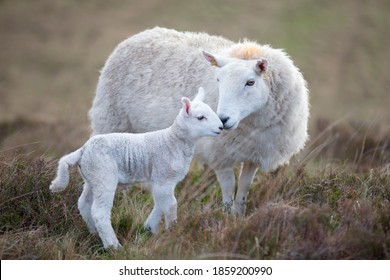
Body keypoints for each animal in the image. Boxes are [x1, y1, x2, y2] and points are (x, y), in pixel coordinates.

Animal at [49, 88, 222, 249]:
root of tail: (83, 150)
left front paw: (150, 228)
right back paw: (113, 246)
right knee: (99, 212)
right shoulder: (164, 177)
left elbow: (160, 203)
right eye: (200, 117)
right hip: (104, 175)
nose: (221, 127)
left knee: (84, 203)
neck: (173, 141)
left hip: (92, 176)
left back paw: (94, 234)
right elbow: (171, 205)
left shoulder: (161, 181)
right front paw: (173, 231)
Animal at [90, 26, 310, 214]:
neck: (252, 122)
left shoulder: (254, 153)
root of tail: (141, 34)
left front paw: (239, 215)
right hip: (111, 120)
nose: (223, 119)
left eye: (250, 82)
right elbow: (228, 188)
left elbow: (244, 188)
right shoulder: (220, 154)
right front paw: (225, 216)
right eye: (218, 80)